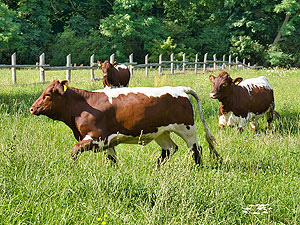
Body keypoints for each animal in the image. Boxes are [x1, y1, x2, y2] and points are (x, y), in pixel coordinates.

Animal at [30, 80, 221, 166]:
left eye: (48, 94)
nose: (32, 108)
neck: (83, 105)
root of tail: (179, 89)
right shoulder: (107, 143)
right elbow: (112, 160)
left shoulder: (97, 138)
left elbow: (74, 150)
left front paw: (73, 166)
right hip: (160, 132)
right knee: (170, 149)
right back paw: (155, 168)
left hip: (187, 129)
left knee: (196, 148)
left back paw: (197, 168)